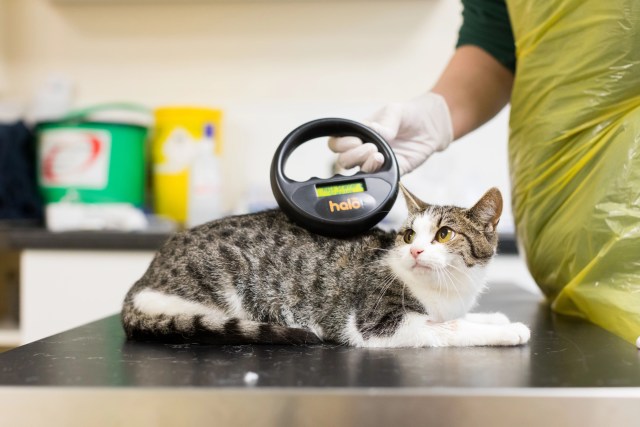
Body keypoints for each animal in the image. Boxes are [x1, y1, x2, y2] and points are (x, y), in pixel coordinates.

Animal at [120, 184, 528, 348]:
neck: (448, 288)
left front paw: (494, 317)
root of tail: (141, 282)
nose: (414, 251)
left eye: (443, 234)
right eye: (410, 234)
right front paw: (508, 330)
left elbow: (457, 318)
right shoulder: (382, 325)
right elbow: (450, 328)